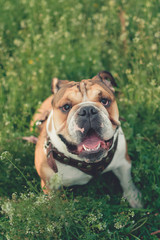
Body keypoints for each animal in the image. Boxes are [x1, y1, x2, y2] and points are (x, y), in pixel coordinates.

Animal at [32, 70, 142, 207]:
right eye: (66, 107)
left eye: (104, 101)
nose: (87, 110)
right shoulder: (50, 186)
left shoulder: (123, 162)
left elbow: (127, 182)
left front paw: (134, 199)